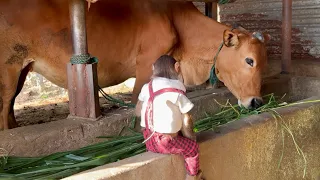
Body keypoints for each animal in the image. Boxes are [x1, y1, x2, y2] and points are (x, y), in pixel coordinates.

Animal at [0, 0, 270, 129]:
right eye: (249, 60)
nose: (256, 102)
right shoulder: (144, 67)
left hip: (22, 69)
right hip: (8, 68)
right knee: (4, 106)